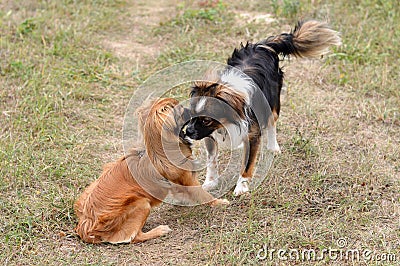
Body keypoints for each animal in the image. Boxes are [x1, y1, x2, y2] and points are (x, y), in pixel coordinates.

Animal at [73, 97, 227, 243]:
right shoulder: (189, 180)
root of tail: (86, 226)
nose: (194, 111)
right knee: (133, 237)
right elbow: (204, 195)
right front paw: (219, 202)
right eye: (182, 109)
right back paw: (160, 230)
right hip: (142, 203)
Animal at [184, 20, 340, 195]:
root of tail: (262, 45)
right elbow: (212, 161)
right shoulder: (210, 135)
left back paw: (273, 147)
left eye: (206, 120)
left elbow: (247, 165)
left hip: (273, 104)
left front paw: (241, 187)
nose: (187, 131)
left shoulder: (252, 136)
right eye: (191, 114)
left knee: (272, 123)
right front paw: (210, 183)